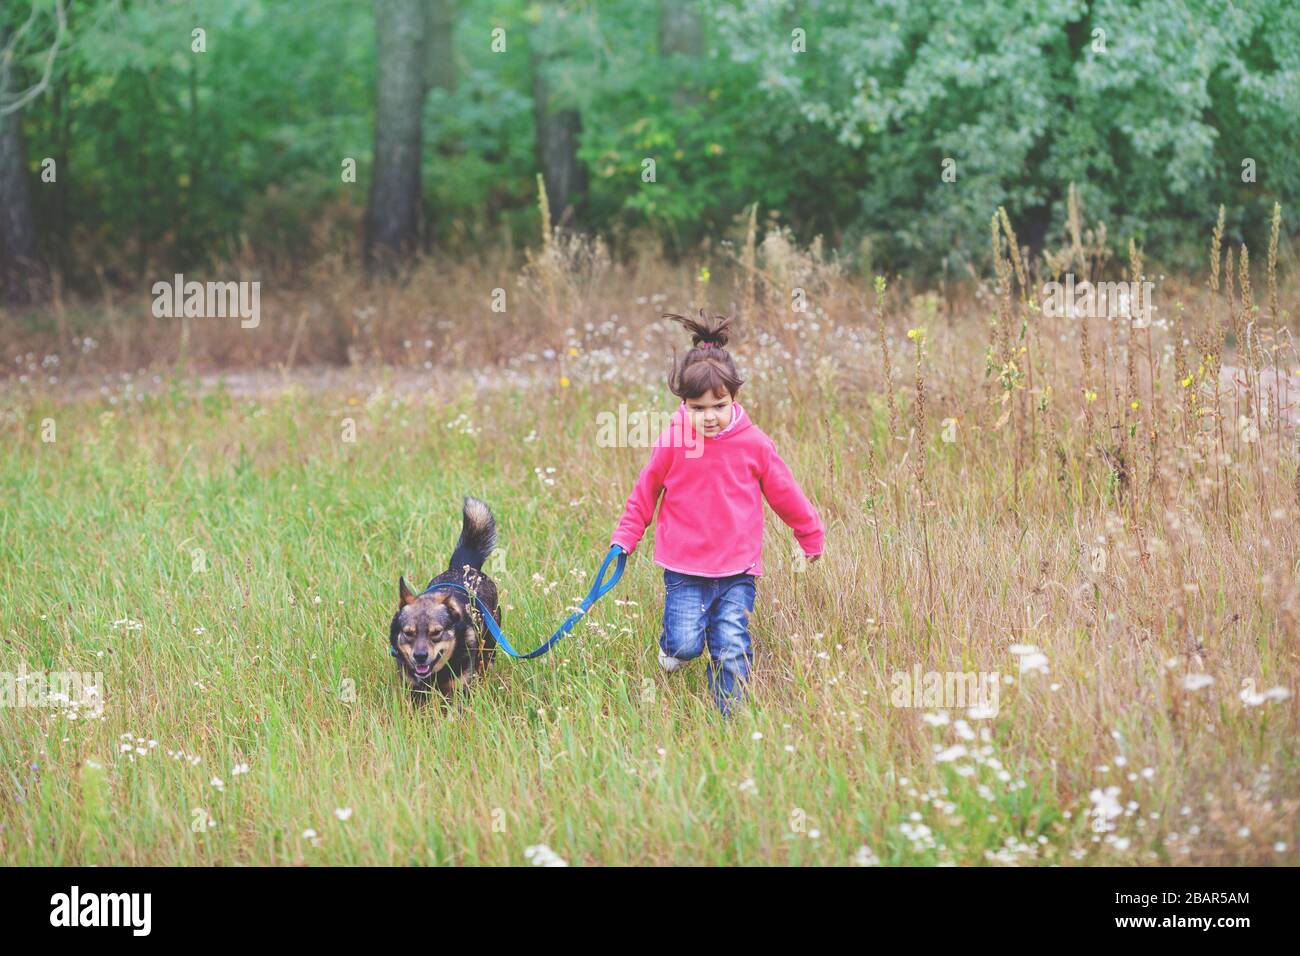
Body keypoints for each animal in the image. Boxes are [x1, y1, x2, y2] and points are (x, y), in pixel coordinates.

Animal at [387, 494, 499, 702]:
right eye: (408, 633)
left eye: (436, 632)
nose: (420, 656)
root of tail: (464, 565)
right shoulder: (415, 691)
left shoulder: (459, 691)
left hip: (488, 650)